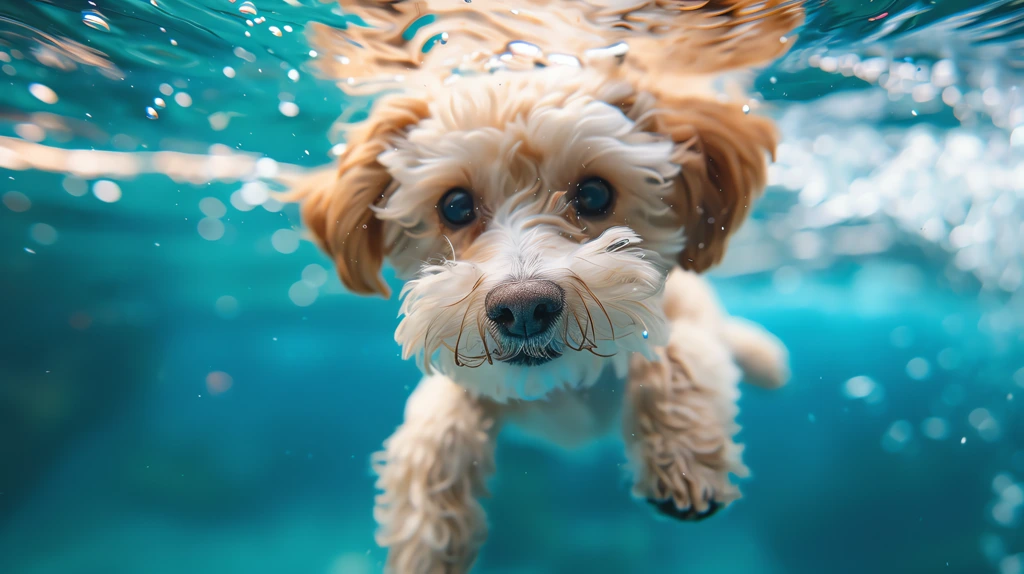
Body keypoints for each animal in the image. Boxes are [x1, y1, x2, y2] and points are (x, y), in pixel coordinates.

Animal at [284, 2, 802, 568]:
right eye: (455, 205)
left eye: (595, 194)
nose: (524, 308)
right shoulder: (460, 362)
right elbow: (436, 422)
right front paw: (424, 538)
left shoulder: (681, 305)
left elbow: (673, 350)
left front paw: (684, 453)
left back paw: (767, 359)